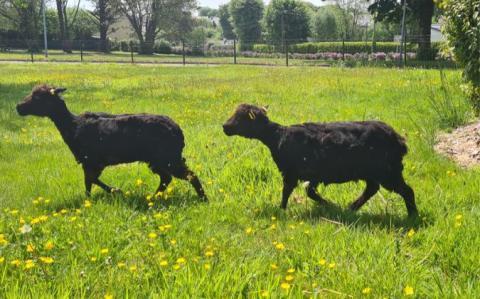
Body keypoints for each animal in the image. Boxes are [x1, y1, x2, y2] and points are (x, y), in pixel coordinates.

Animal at [15, 85, 207, 202]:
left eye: (38, 97)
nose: (18, 107)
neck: (72, 124)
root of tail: (178, 131)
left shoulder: (91, 161)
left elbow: (91, 181)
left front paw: (112, 192)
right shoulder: (90, 163)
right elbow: (89, 182)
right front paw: (92, 199)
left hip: (167, 157)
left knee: (189, 175)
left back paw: (203, 199)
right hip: (158, 159)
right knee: (167, 178)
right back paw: (153, 197)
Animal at [223, 103, 418, 218]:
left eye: (240, 118)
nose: (224, 127)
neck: (276, 136)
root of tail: (398, 139)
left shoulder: (292, 172)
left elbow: (286, 191)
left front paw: (281, 210)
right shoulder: (313, 173)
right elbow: (309, 191)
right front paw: (330, 205)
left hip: (388, 171)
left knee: (407, 191)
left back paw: (413, 216)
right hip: (375, 171)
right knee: (372, 188)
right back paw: (351, 208)